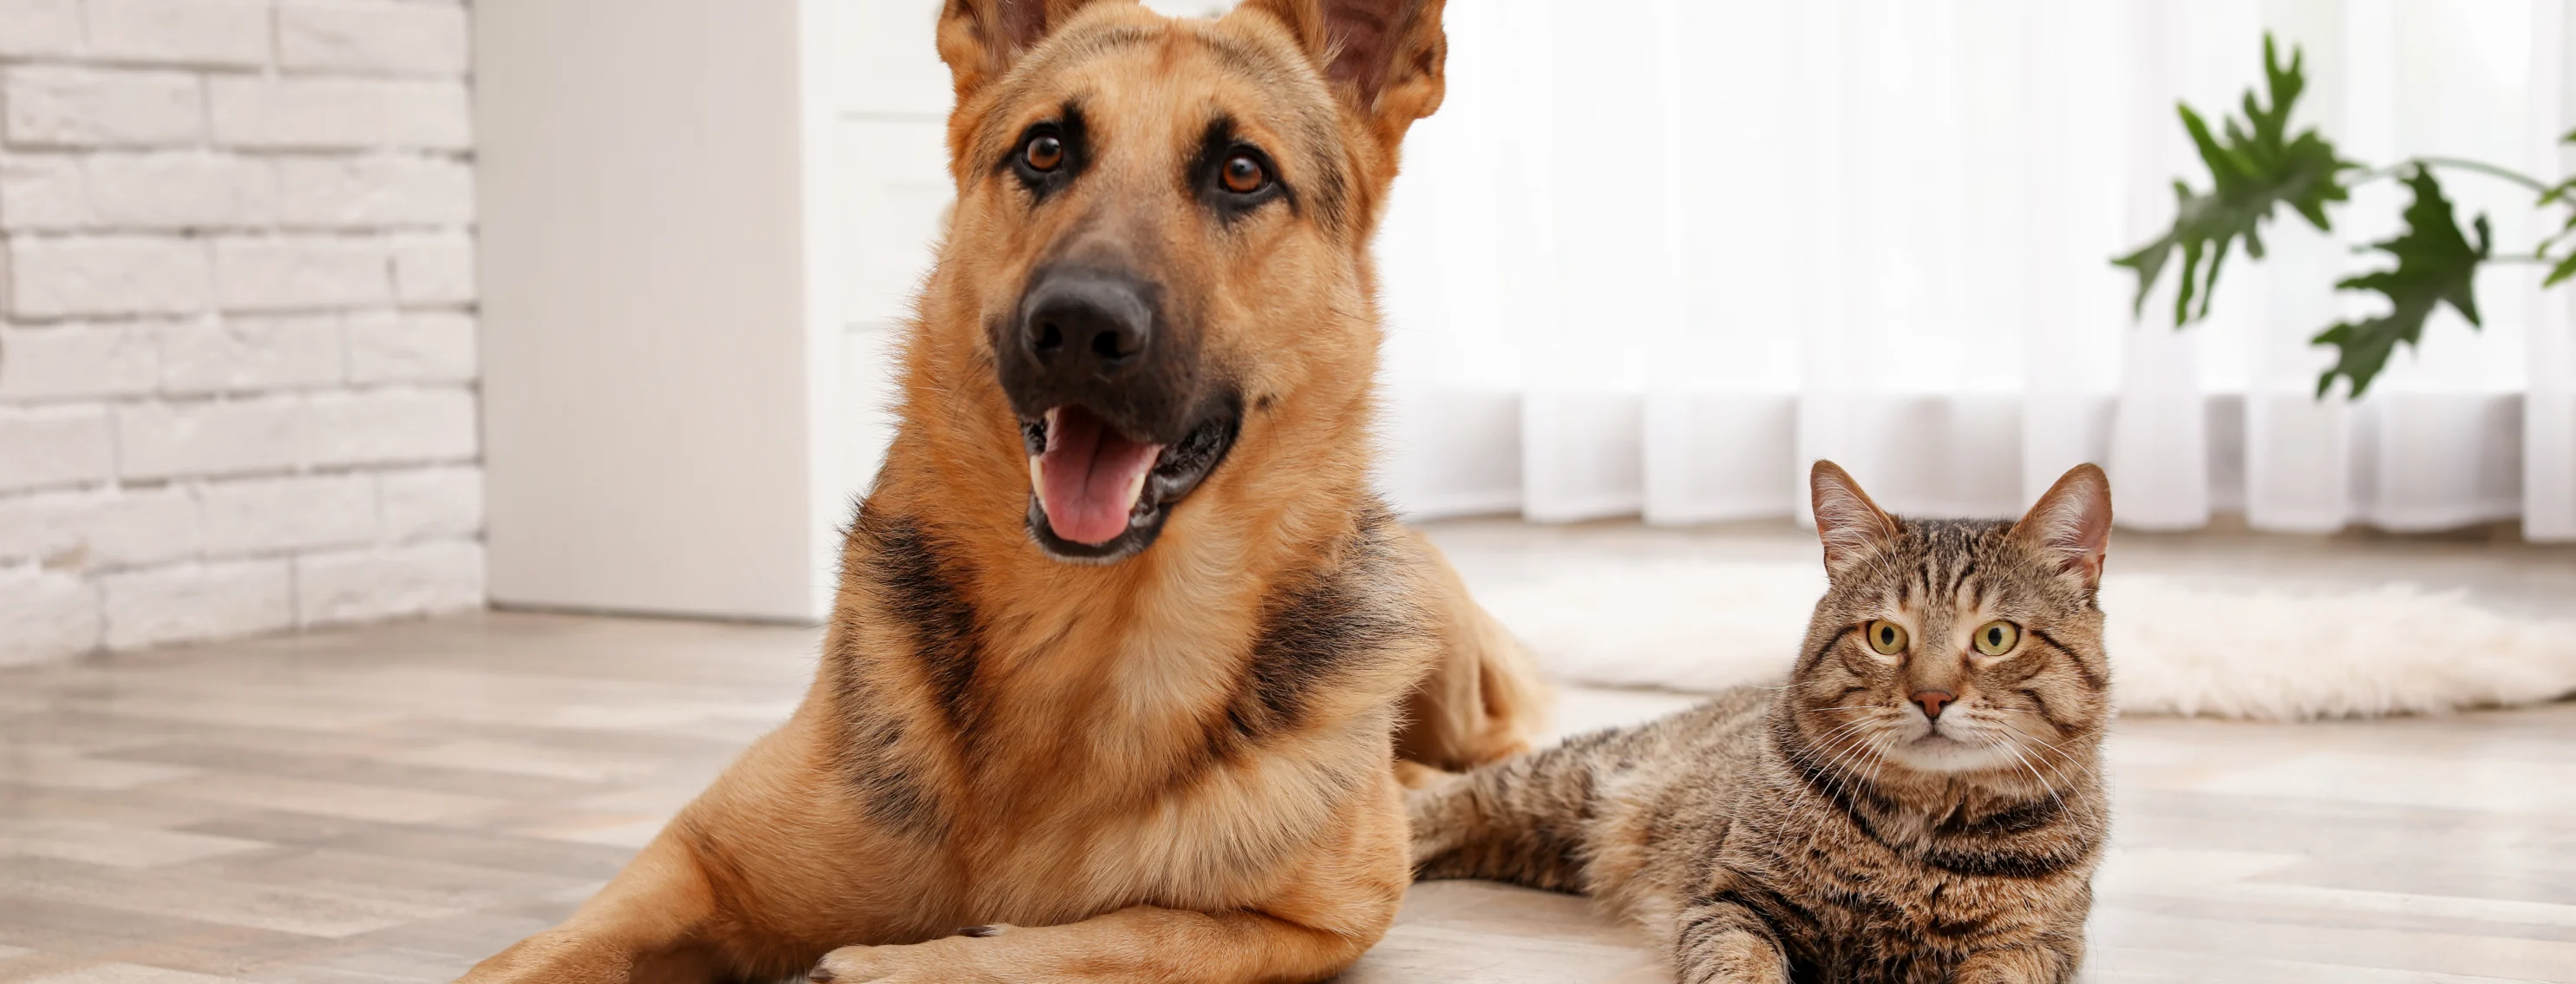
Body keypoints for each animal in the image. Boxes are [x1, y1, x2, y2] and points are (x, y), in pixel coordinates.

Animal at [458, 2, 1546, 984]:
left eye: (1243, 172)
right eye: (1045, 151)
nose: (1079, 327)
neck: (1081, 635)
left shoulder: (1314, 925)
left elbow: (1124, 939)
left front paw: (901, 964)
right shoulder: (694, 863)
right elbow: (527, 958)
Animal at [1411, 463, 2112, 984]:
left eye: (1997, 637)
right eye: (1885, 636)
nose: (1932, 697)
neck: (1920, 837)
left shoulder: (2034, 947)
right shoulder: (1736, 904)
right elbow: (1741, 966)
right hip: (1569, 782)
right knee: (1448, 800)